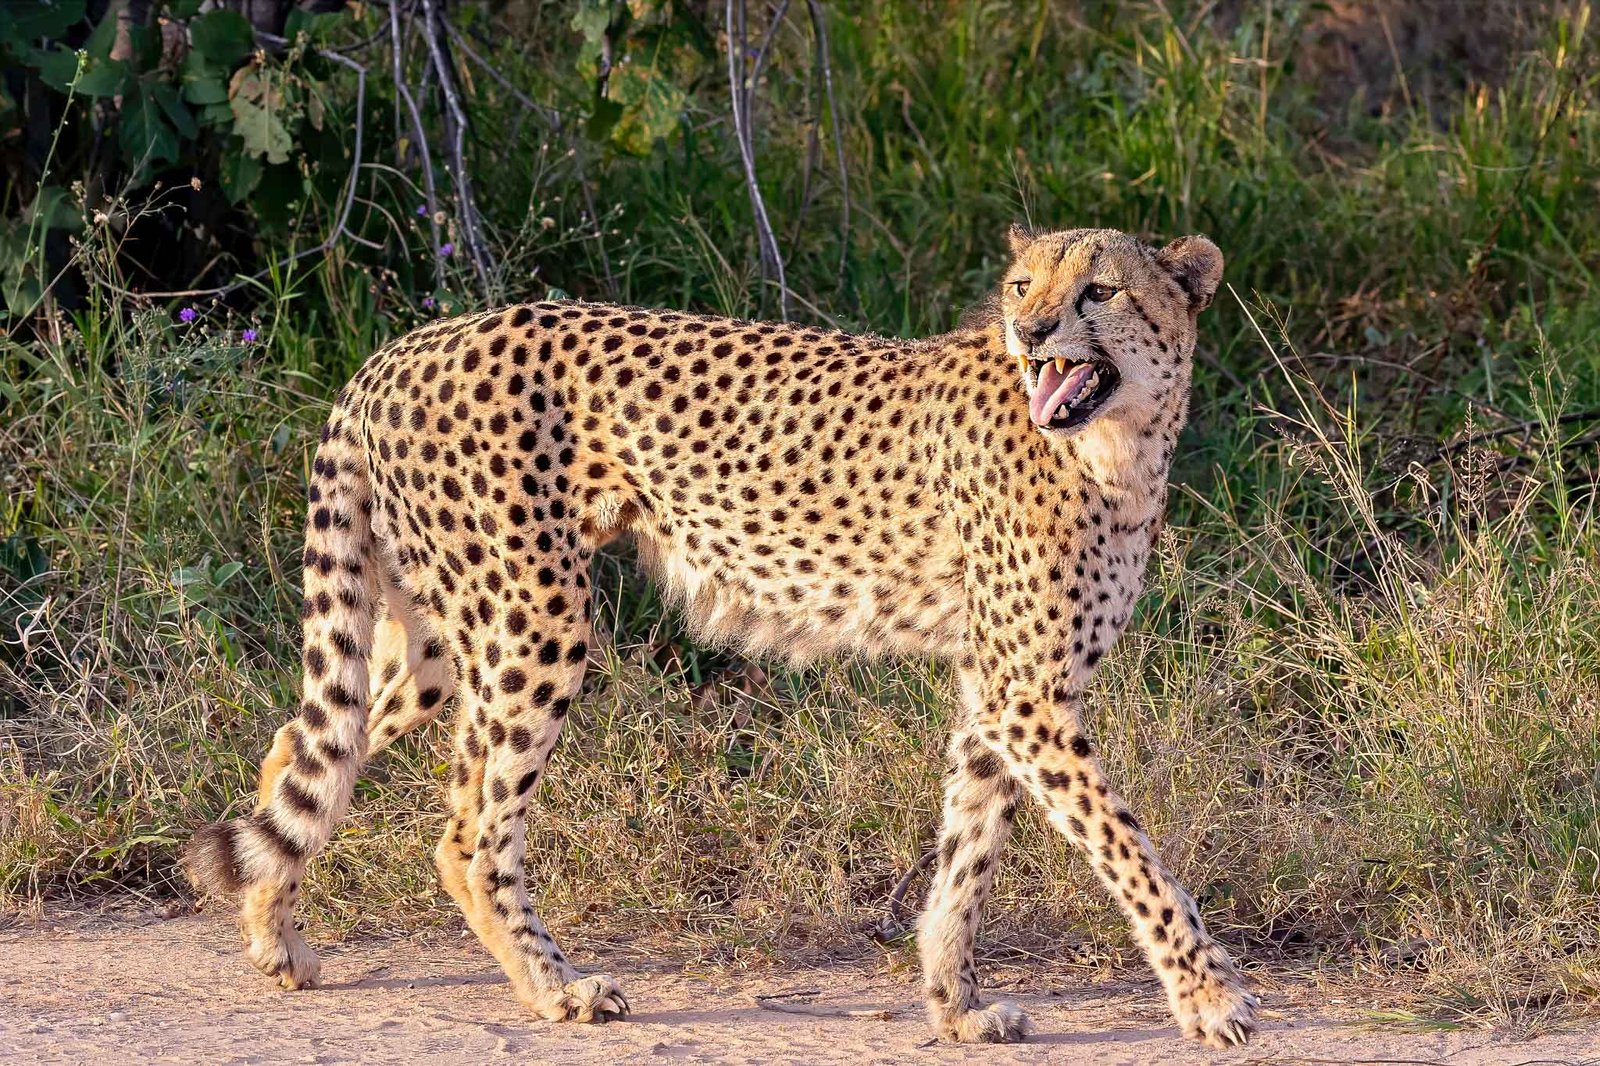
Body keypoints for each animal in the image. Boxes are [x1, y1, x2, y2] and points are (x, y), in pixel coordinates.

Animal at [181, 224, 1257, 1048]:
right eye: (1024, 285)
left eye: (1100, 290)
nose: (1028, 330)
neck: (1117, 443)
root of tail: (403, 347)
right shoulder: (1028, 694)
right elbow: (1133, 853)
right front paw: (1210, 997)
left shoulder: (999, 690)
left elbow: (969, 852)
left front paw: (955, 1005)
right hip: (534, 619)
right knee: (465, 831)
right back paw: (556, 989)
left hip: (447, 635)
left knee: (308, 741)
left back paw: (275, 936)